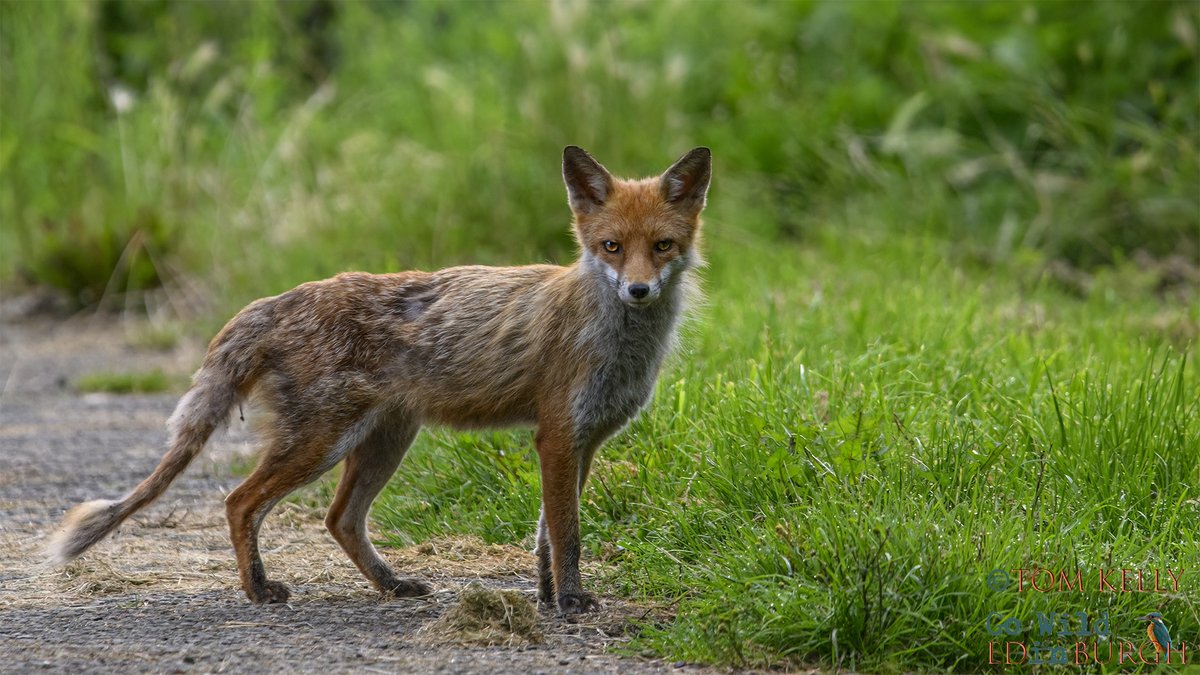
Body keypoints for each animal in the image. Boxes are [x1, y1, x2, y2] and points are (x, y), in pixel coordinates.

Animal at [49, 144, 710, 612]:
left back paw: (390, 585)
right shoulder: (556, 436)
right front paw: (569, 601)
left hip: (384, 441)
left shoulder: (584, 441)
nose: (639, 290)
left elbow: (549, 536)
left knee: (339, 519)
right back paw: (260, 591)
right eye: (612, 246)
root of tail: (277, 300)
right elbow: (568, 534)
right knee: (240, 503)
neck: (612, 339)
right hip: (321, 442)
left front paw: (549, 598)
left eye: (662, 245)